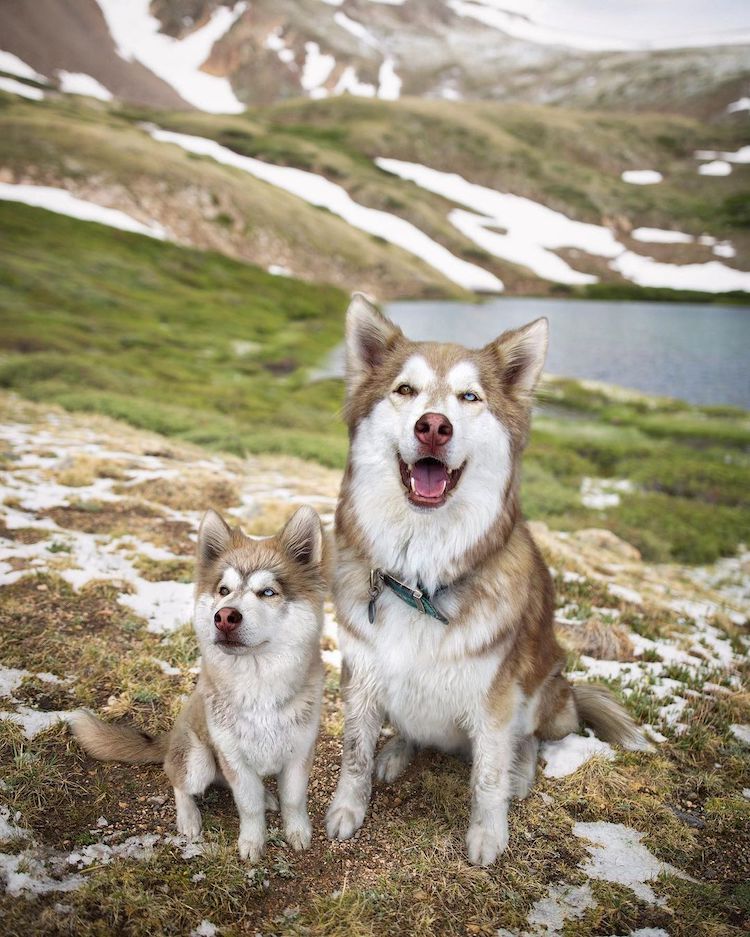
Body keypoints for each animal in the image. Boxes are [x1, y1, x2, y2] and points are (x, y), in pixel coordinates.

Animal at [72, 508, 326, 860]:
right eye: (223, 590)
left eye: (268, 592)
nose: (225, 617)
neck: (259, 687)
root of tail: (169, 738)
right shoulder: (234, 758)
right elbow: (248, 807)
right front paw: (252, 842)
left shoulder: (298, 754)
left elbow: (293, 800)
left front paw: (298, 832)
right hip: (199, 760)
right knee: (180, 783)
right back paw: (189, 818)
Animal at [326, 296, 648, 868]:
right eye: (404, 390)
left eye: (469, 397)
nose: (433, 426)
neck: (421, 580)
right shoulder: (361, 675)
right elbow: (355, 754)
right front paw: (347, 809)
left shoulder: (495, 697)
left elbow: (488, 775)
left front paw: (487, 835)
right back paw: (398, 751)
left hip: (543, 688)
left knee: (529, 742)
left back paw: (521, 772)